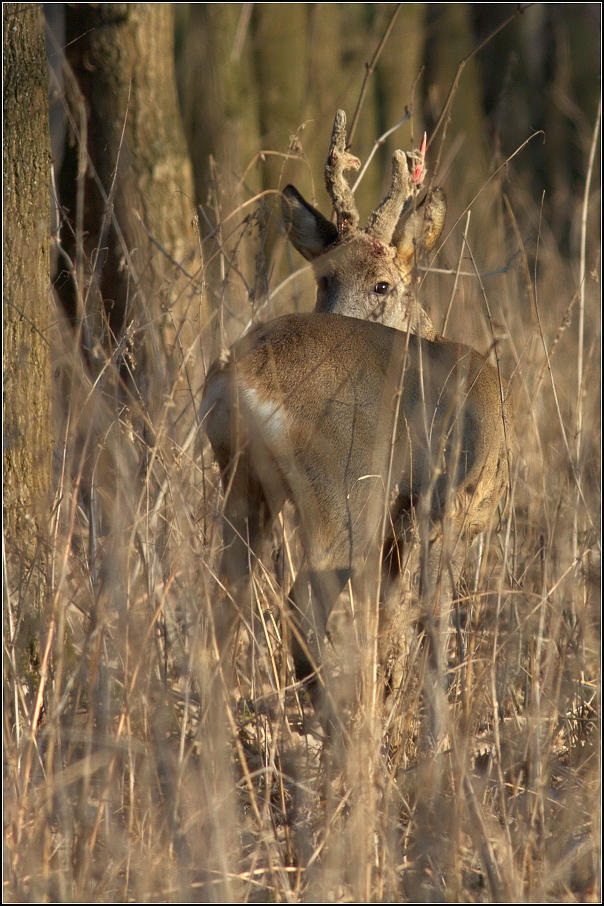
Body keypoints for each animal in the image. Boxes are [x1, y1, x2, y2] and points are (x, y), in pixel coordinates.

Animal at [202, 109, 510, 728]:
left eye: (382, 284)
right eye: (324, 279)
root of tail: (238, 380)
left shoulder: (400, 524)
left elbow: (386, 623)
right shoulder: (443, 503)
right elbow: (434, 621)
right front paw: (435, 734)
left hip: (244, 483)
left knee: (227, 599)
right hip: (343, 488)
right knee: (302, 600)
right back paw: (336, 720)